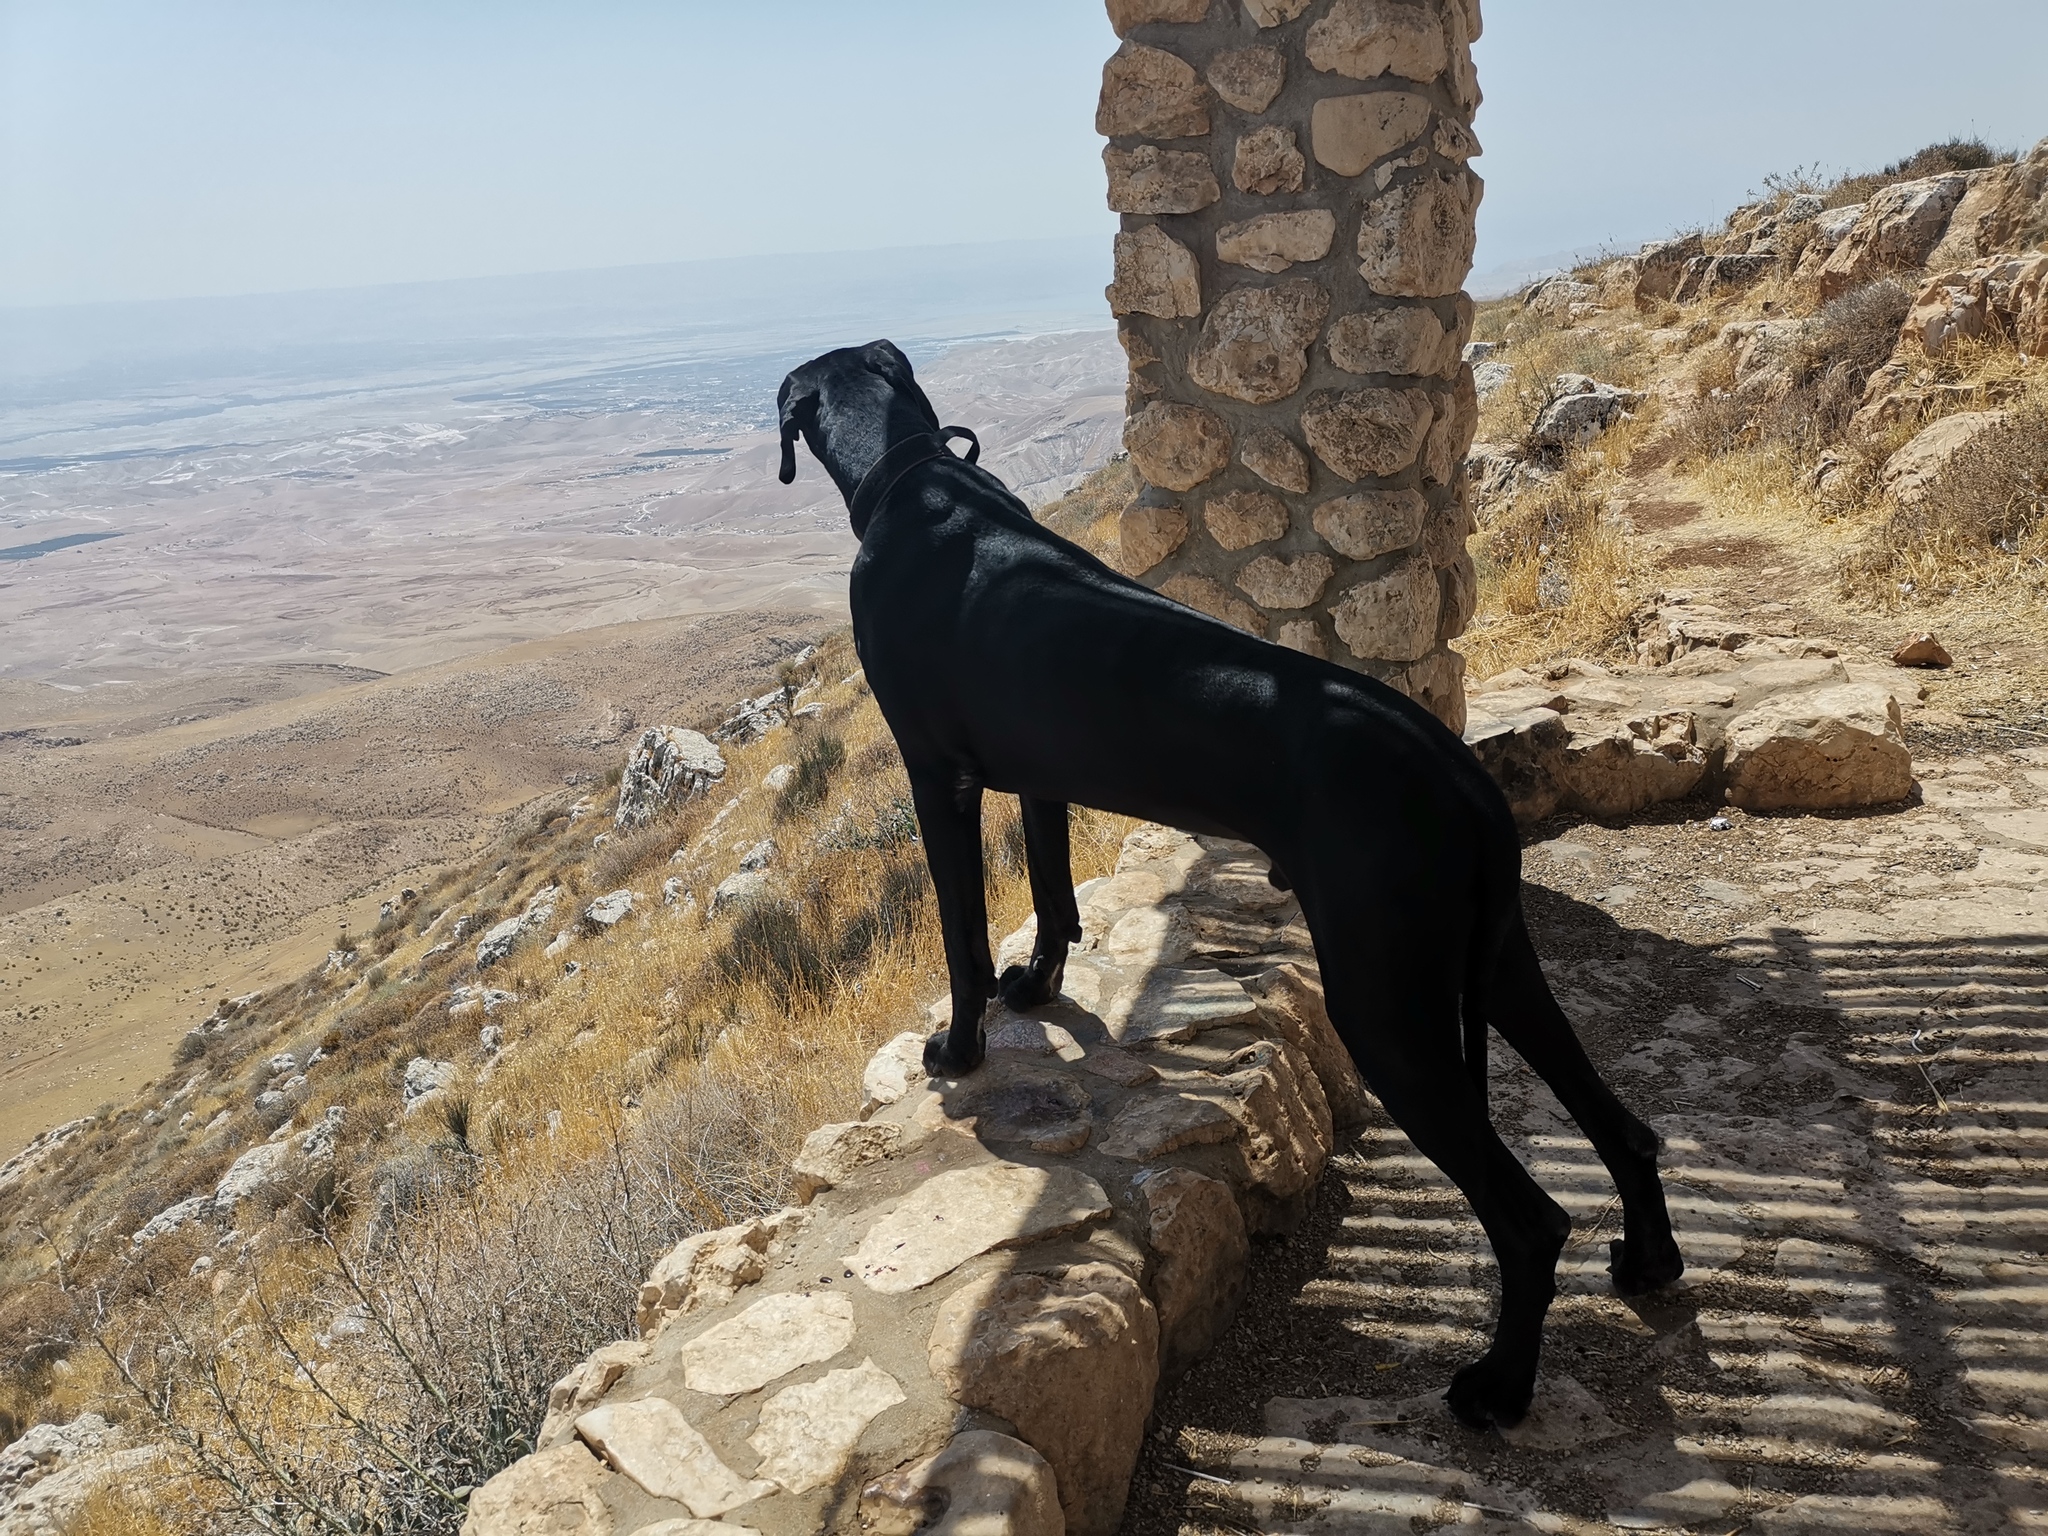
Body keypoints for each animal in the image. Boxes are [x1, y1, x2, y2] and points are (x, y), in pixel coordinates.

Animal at [770, 339, 1679, 1433]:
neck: (914, 477)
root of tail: (1460, 778)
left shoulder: (935, 774)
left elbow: (957, 931)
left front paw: (959, 1045)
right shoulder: (1037, 768)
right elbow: (1052, 887)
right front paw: (1037, 985)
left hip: (1385, 1002)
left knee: (1531, 1219)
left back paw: (1499, 1386)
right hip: (1493, 958)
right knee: (1624, 1126)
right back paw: (1649, 1257)